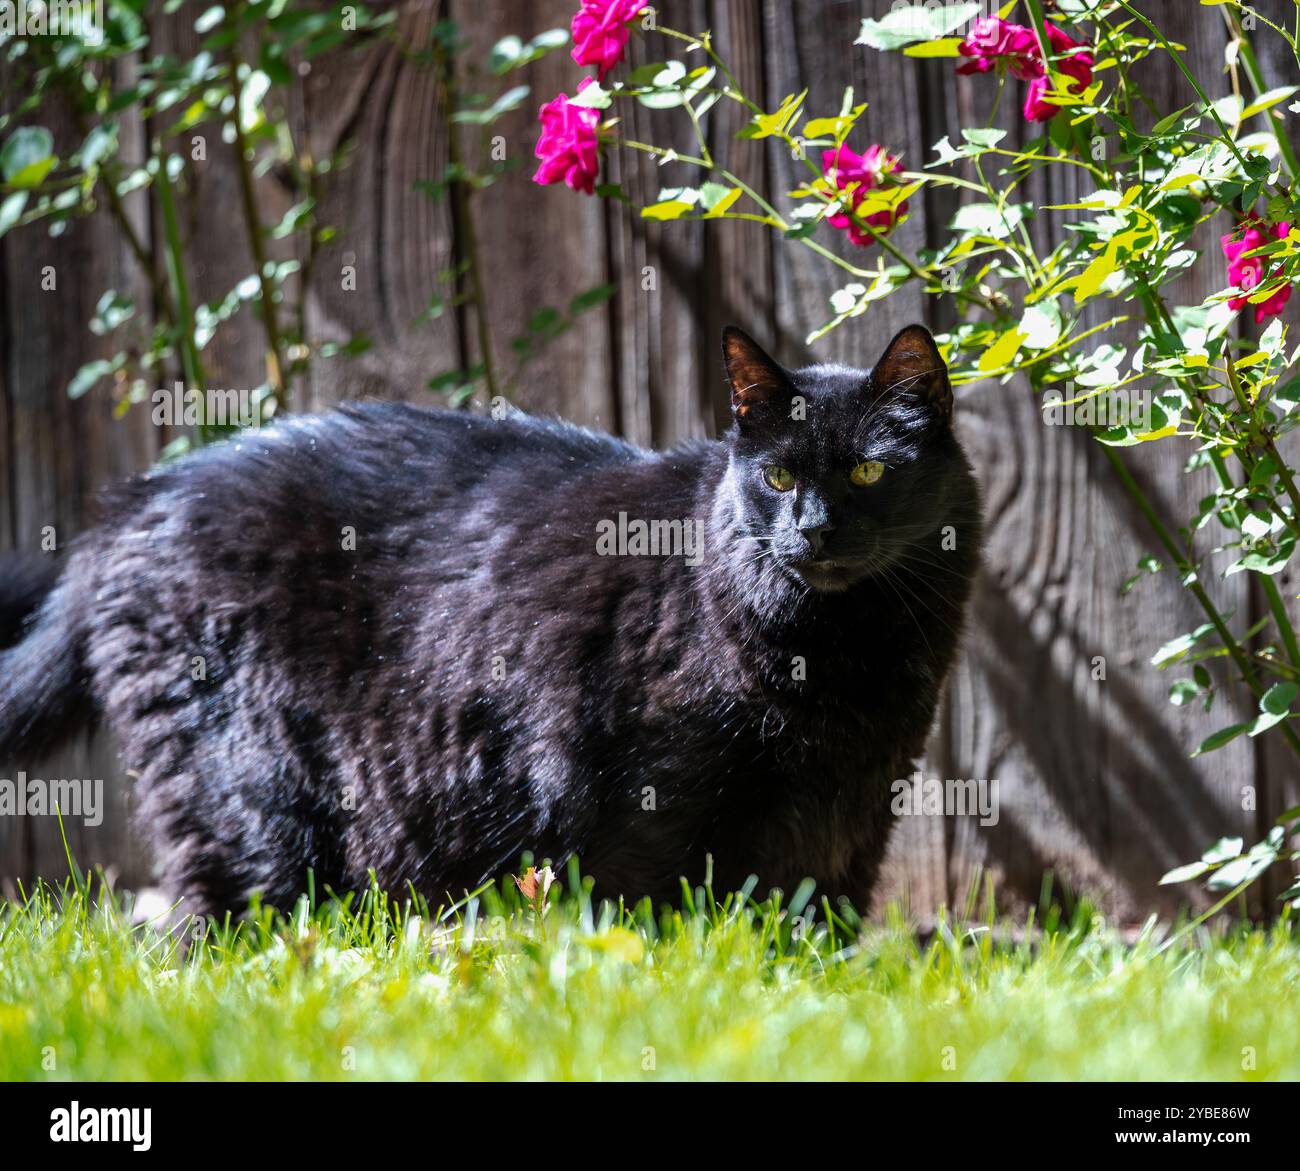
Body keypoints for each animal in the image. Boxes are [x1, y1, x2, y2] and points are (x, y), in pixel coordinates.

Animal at [0, 324, 977, 920]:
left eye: (869, 473)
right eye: (776, 477)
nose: (812, 529)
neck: (837, 656)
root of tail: (132, 505)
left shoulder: (854, 813)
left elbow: (816, 930)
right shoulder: (632, 802)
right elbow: (655, 920)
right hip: (243, 794)